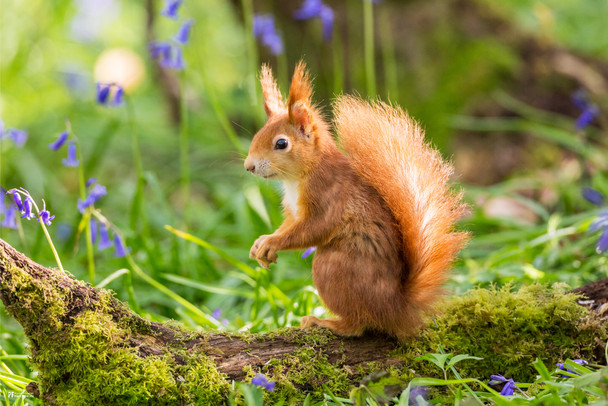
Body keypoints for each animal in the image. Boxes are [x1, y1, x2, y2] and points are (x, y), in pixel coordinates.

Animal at [245, 61, 468, 338]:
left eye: (281, 143)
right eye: (257, 135)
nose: (249, 166)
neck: (299, 177)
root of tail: (396, 307)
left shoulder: (328, 196)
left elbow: (313, 229)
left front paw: (271, 242)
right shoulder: (294, 210)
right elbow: (289, 225)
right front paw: (261, 244)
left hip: (333, 269)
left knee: (359, 324)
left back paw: (326, 322)